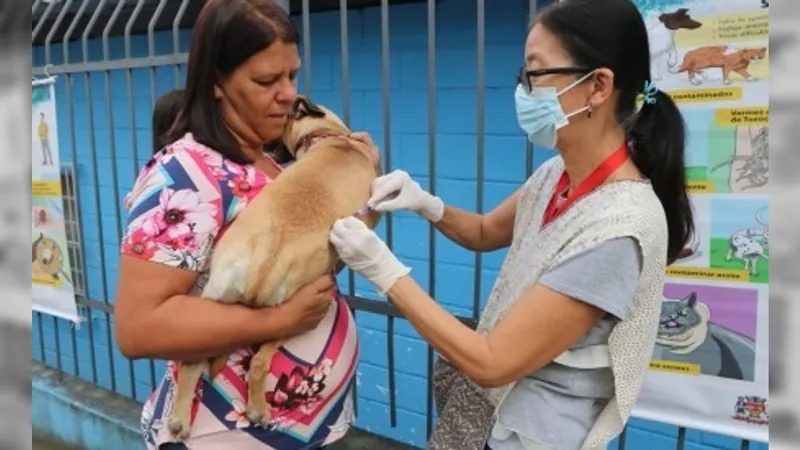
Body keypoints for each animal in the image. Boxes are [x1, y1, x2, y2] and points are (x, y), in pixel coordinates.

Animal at [166, 98, 382, 440]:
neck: (331, 136)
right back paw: (258, 409)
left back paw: (180, 420)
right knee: (258, 364)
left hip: (215, 296)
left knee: (191, 364)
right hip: (292, 317)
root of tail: (261, 268)